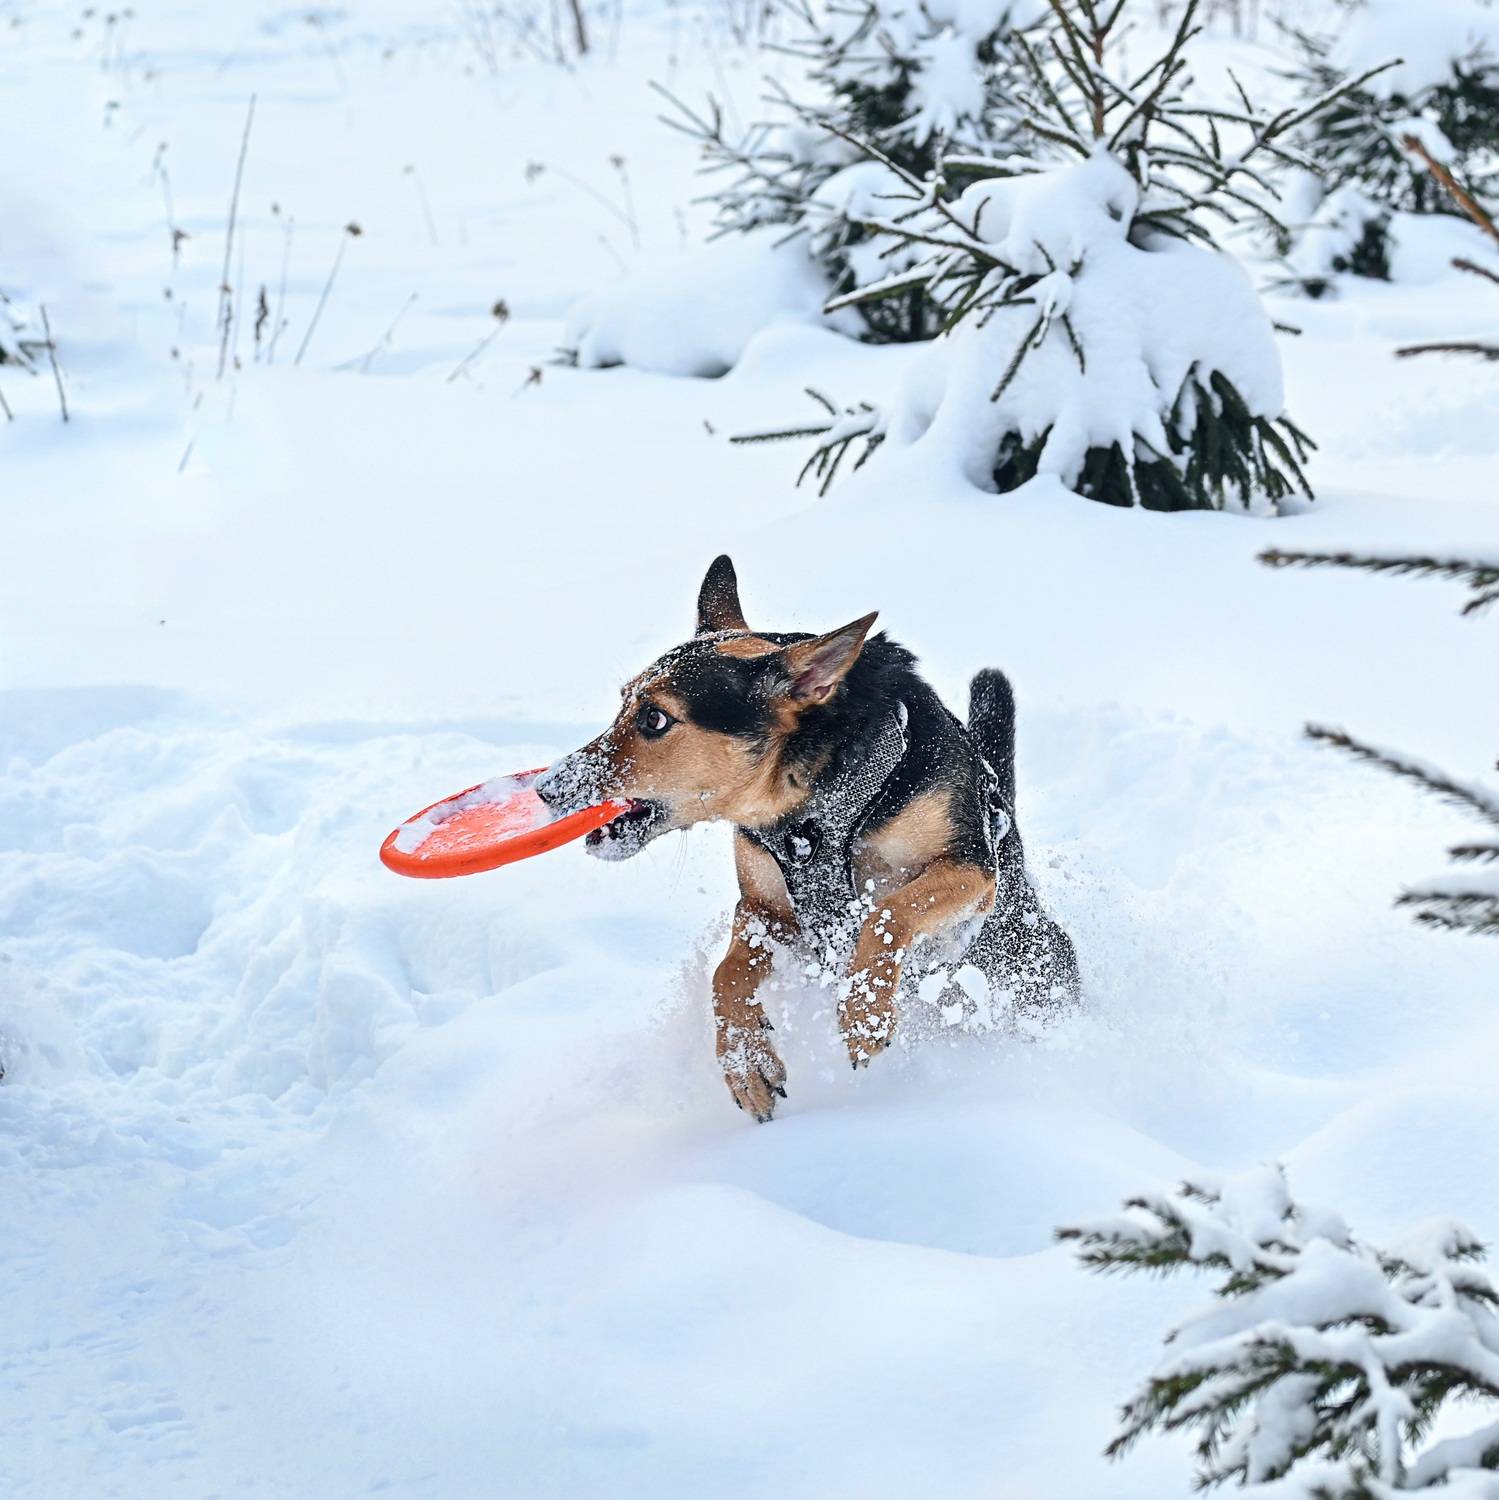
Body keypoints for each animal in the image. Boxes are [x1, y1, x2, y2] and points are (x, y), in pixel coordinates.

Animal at [535, 556, 1079, 1122]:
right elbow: (727, 973)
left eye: (655, 718)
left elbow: (889, 914)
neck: (806, 809)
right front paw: (747, 1060)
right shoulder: (769, 909)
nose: (546, 789)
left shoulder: (970, 869)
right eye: (623, 704)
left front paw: (865, 1012)